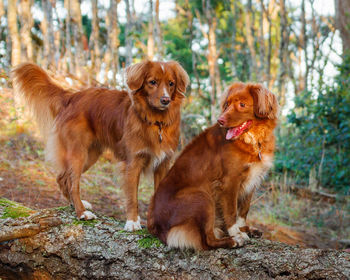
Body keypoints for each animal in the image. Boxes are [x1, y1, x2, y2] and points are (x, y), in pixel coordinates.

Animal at [11, 60, 189, 230]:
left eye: (171, 83)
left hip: (91, 155)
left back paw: (75, 204)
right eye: (152, 82)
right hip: (78, 152)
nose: (165, 100)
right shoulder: (133, 163)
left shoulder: (163, 164)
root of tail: (72, 97)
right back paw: (82, 212)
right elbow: (132, 197)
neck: (156, 122)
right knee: (73, 183)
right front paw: (132, 222)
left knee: (63, 178)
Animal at [146, 82, 278, 249]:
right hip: (202, 197)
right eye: (227, 104)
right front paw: (237, 233)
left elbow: (244, 210)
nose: (220, 120)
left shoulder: (253, 179)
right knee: (207, 240)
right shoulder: (230, 181)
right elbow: (231, 211)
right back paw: (231, 241)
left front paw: (244, 229)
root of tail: (156, 227)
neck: (252, 140)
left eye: (242, 105)